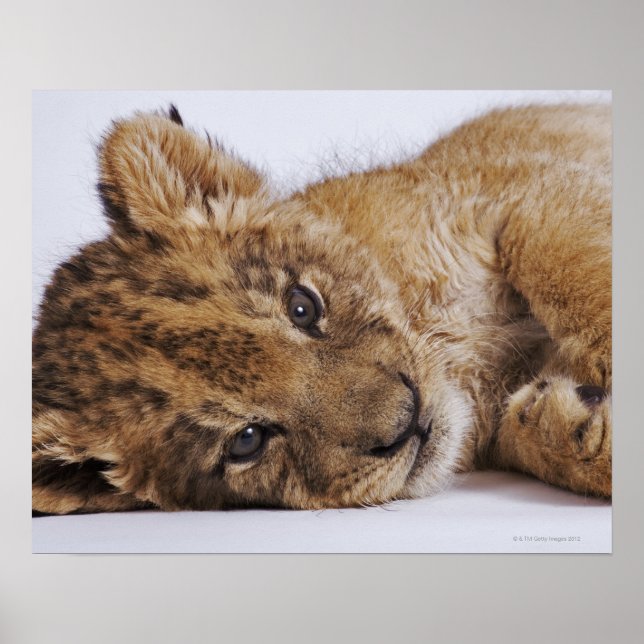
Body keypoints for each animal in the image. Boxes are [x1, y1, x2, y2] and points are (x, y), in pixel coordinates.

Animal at [32, 102, 611, 514]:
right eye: (246, 441)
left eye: (302, 307)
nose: (409, 420)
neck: (464, 362)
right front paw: (569, 425)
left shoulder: (521, 191)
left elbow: (568, 264)